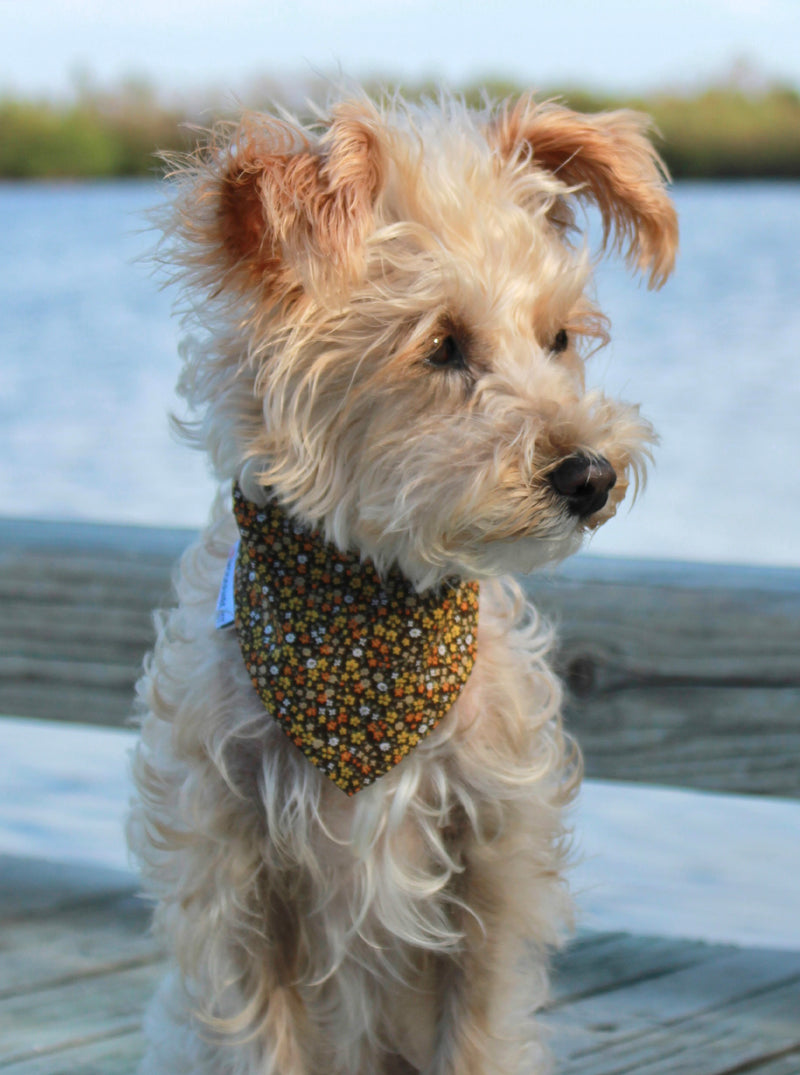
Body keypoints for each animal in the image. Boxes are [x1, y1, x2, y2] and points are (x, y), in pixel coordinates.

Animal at [129, 90, 675, 1075]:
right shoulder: (229, 882)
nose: (591, 473)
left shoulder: (494, 864)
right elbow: (260, 1034)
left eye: (559, 338)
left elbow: (479, 1029)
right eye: (442, 346)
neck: (365, 622)